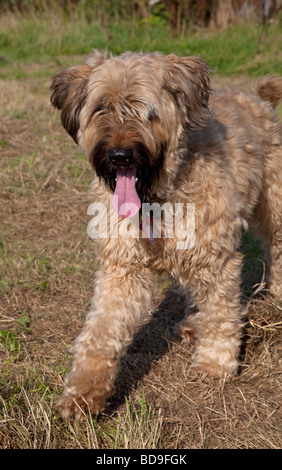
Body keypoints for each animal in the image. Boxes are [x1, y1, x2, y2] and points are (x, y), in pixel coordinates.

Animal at [50, 50, 282, 418]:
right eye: (101, 108)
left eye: (146, 111)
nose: (119, 156)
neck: (156, 198)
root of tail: (256, 96)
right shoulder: (122, 268)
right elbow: (100, 330)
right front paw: (84, 392)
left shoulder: (215, 258)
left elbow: (221, 312)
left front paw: (214, 364)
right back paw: (192, 324)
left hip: (273, 201)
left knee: (276, 245)